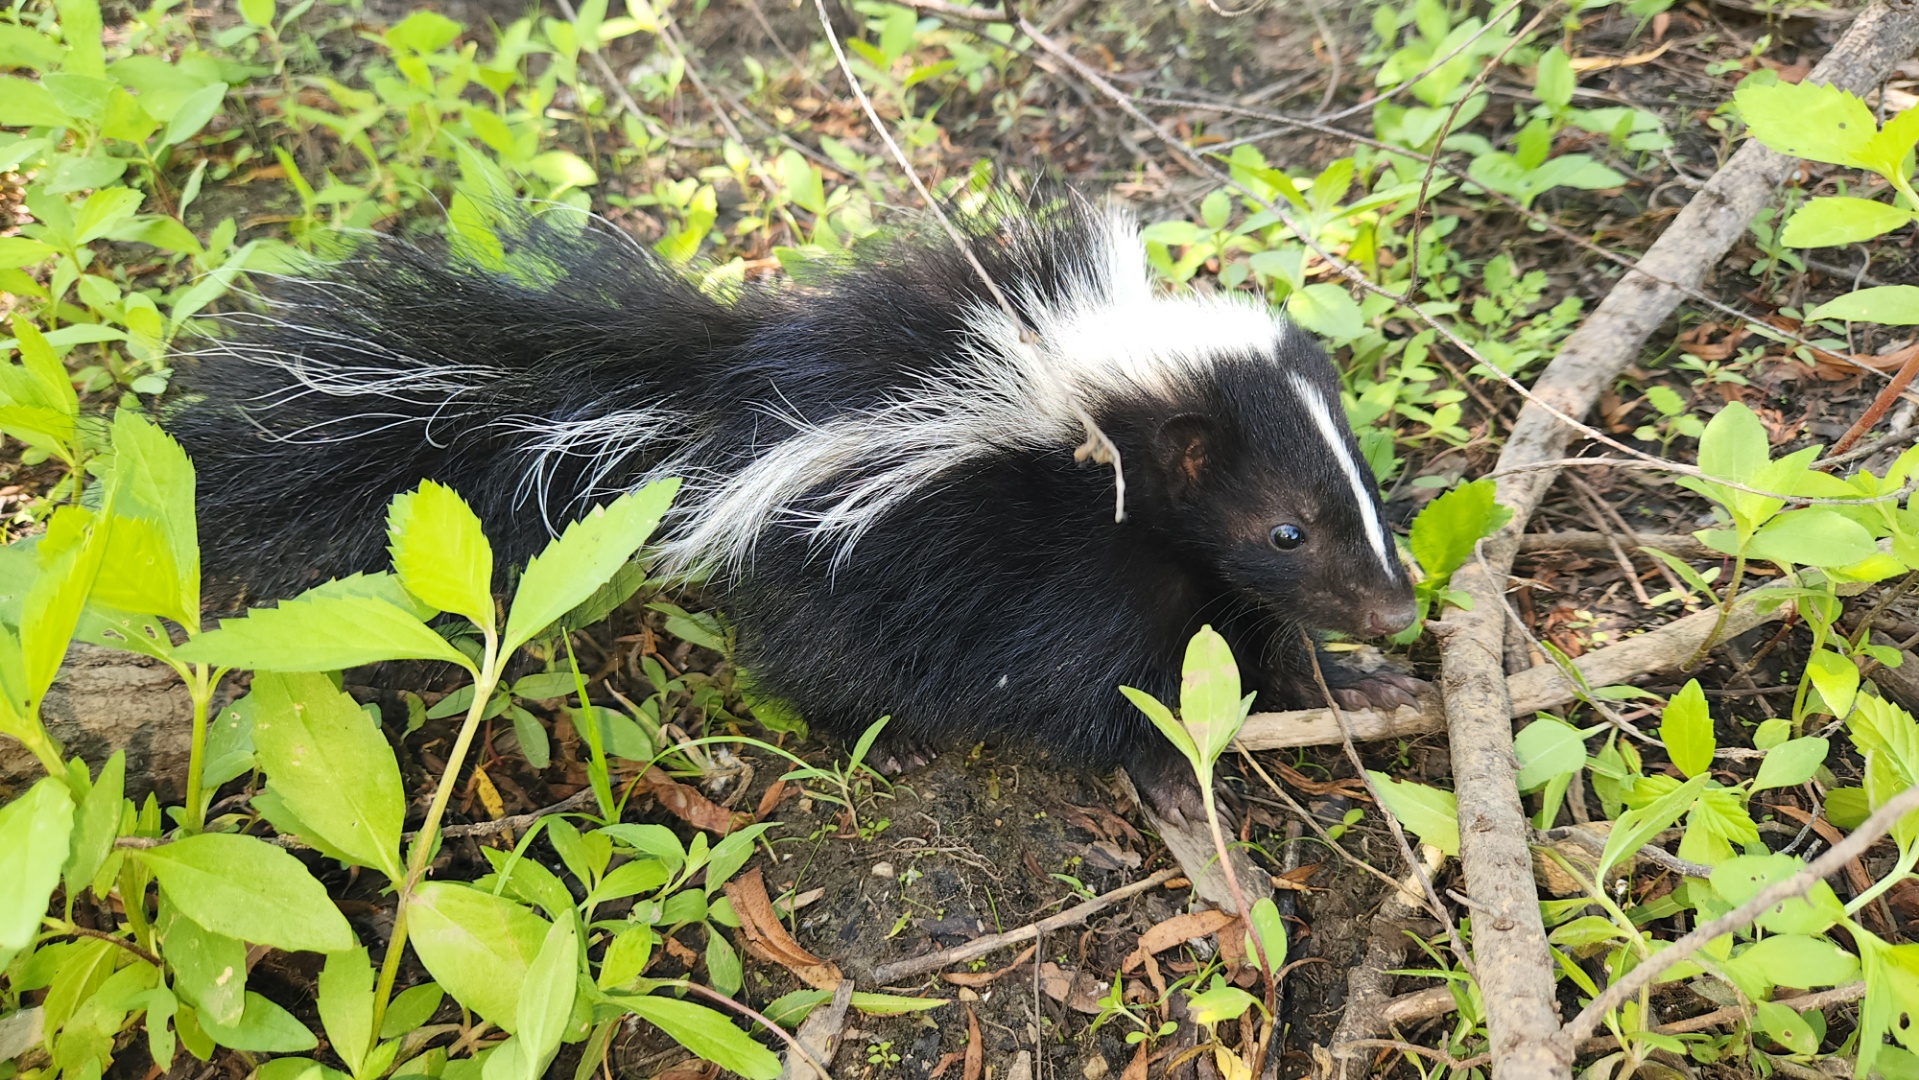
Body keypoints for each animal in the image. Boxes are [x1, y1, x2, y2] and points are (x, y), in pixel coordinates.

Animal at [168, 196, 1427, 821]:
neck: (1093, 424)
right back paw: (876, 740)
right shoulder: (1070, 566)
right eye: (1285, 528)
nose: (1395, 610)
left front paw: (1359, 686)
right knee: (825, 660)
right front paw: (1172, 776)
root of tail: (727, 388)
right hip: (843, 572)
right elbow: (1094, 685)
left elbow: (1259, 639)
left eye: (1365, 497)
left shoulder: (1190, 573)